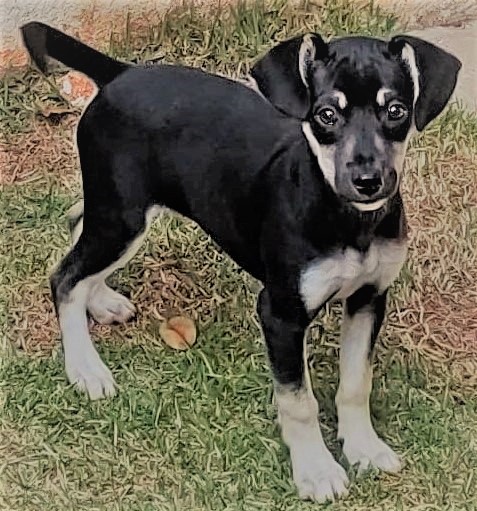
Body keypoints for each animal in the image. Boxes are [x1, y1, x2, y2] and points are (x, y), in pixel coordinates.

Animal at [20, 22, 460, 502]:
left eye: (396, 111)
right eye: (326, 115)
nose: (367, 180)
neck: (346, 219)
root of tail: (121, 74)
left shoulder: (369, 297)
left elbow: (356, 382)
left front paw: (363, 448)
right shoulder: (280, 312)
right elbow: (298, 400)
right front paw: (316, 470)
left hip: (120, 213)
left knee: (77, 228)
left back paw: (100, 302)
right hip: (122, 216)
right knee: (65, 277)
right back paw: (84, 366)